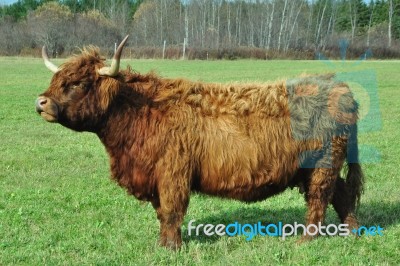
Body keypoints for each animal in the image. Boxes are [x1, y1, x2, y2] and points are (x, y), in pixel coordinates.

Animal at [36, 35, 364, 249]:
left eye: (77, 84)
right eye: (56, 81)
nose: (41, 102)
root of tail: (338, 87)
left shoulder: (173, 173)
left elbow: (171, 211)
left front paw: (172, 248)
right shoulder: (156, 175)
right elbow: (162, 213)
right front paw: (164, 244)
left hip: (323, 164)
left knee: (320, 198)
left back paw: (306, 239)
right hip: (318, 167)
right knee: (342, 194)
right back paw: (352, 231)